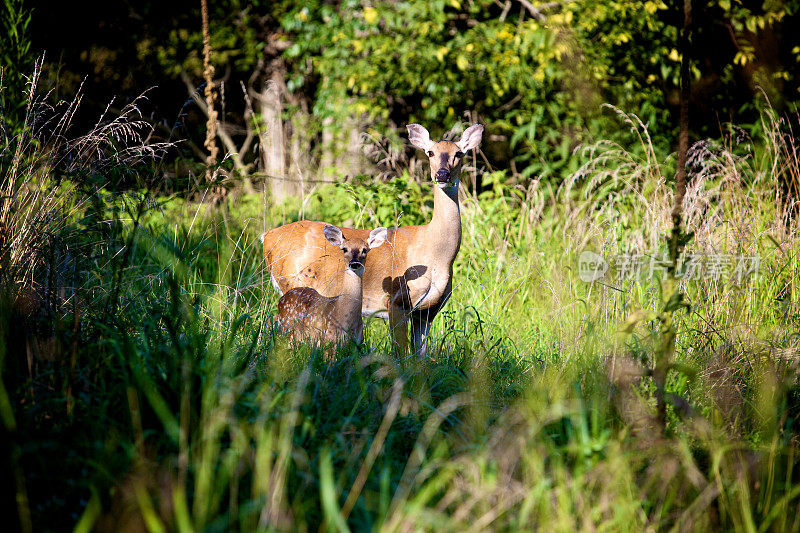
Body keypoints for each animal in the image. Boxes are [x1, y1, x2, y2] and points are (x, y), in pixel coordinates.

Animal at [266, 121, 484, 354]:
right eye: (430, 152)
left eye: (459, 153)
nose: (442, 174)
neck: (438, 255)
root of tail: (267, 236)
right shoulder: (397, 300)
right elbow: (401, 353)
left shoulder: (427, 311)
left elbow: (420, 357)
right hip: (291, 281)